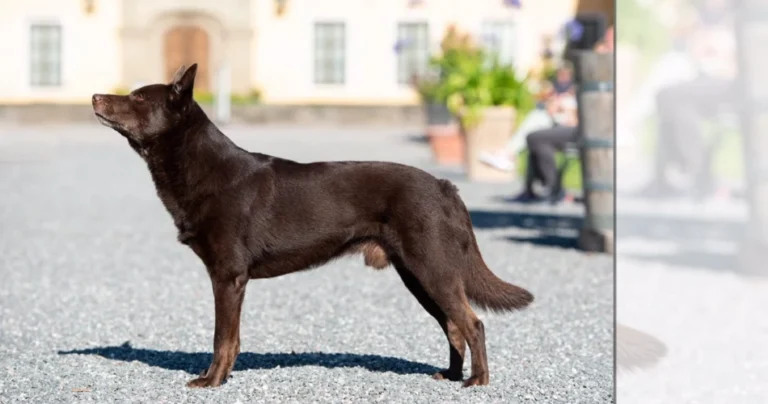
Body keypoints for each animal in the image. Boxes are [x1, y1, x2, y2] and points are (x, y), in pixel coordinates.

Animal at [91, 64, 536, 390]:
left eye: (137, 98)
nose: (95, 96)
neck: (201, 167)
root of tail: (446, 187)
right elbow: (228, 338)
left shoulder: (228, 277)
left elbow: (223, 338)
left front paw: (212, 380)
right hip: (418, 275)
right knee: (453, 326)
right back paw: (452, 375)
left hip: (433, 269)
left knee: (472, 323)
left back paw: (477, 381)